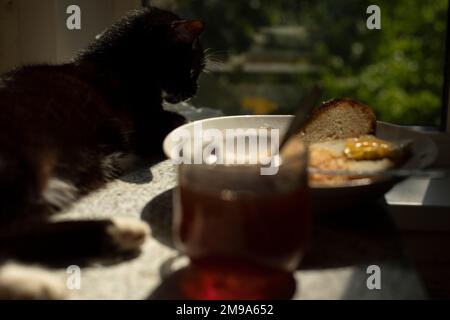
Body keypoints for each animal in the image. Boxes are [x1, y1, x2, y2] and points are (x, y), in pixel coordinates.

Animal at [0, 5, 206, 300]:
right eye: (192, 69)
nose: (194, 91)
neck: (116, 65)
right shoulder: (144, 130)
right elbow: (179, 121)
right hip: (24, 161)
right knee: (9, 231)